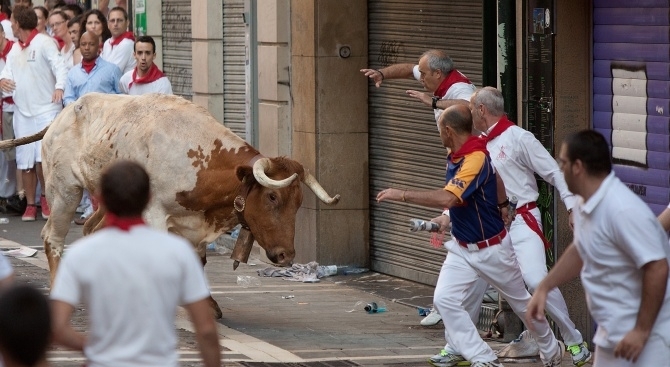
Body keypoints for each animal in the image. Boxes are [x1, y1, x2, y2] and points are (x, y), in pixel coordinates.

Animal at [2, 92, 342, 320]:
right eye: (272, 197)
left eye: (299, 202)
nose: (287, 256)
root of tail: (64, 113)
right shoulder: (154, 215)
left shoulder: (193, 225)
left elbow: (197, 262)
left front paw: (206, 304)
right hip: (63, 190)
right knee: (53, 238)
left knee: (90, 229)